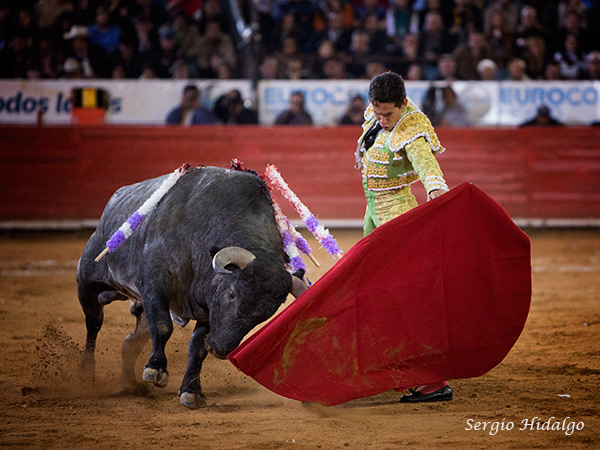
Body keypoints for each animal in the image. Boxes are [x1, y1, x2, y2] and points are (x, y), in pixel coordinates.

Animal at [76, 166, 307, 408]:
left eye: (266, 314)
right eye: (232, 294)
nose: (219, 349)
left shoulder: (208, 310)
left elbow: (197, 348)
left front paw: (191, 391)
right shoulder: (155, 284)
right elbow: (162, 326)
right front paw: (156, 370)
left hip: (140, 307)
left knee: (130, 343)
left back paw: (127, 386)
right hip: (87, 282)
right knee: (93, 323)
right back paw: (86, 374)